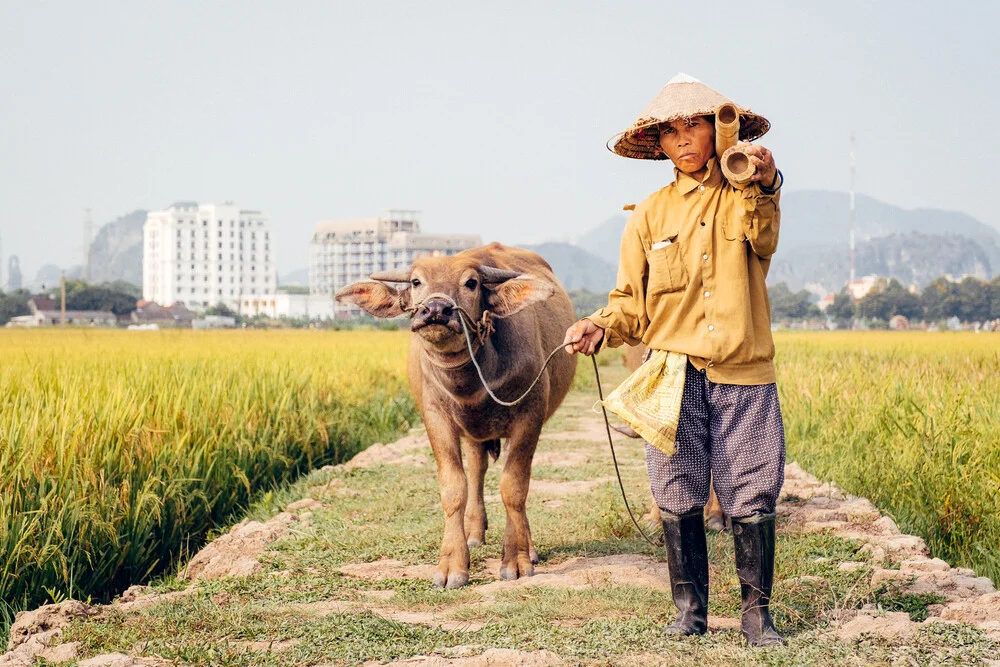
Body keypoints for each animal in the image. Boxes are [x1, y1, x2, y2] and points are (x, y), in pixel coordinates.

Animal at [336, 243, 576, 588]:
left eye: (471, 283)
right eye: (416, 282)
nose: (436, 310)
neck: (471, 382)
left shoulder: (530, 416)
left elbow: (514, 487)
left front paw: (517, 559)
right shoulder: (436, 418)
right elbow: (454, 488)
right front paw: (452, 565)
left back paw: (528, 548)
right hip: (475, 431)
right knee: (476, 470)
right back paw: (474, 532)